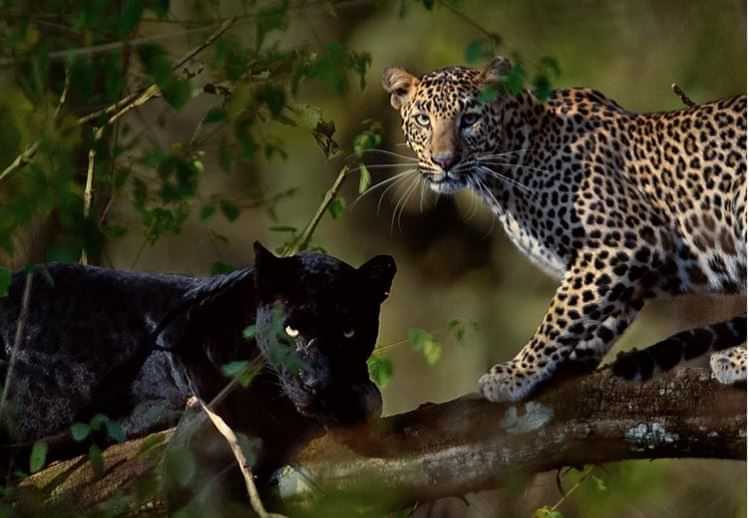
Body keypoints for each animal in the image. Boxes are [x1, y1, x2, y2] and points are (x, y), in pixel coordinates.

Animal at [382, 55, 746, 402]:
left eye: (470, 119)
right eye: (423, 120)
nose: (444, 161)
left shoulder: (626, 240)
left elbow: (561, 315)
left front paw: (517, 372)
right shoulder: (617, 267)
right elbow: (599, 313)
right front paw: (569, 362)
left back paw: (735, 359)